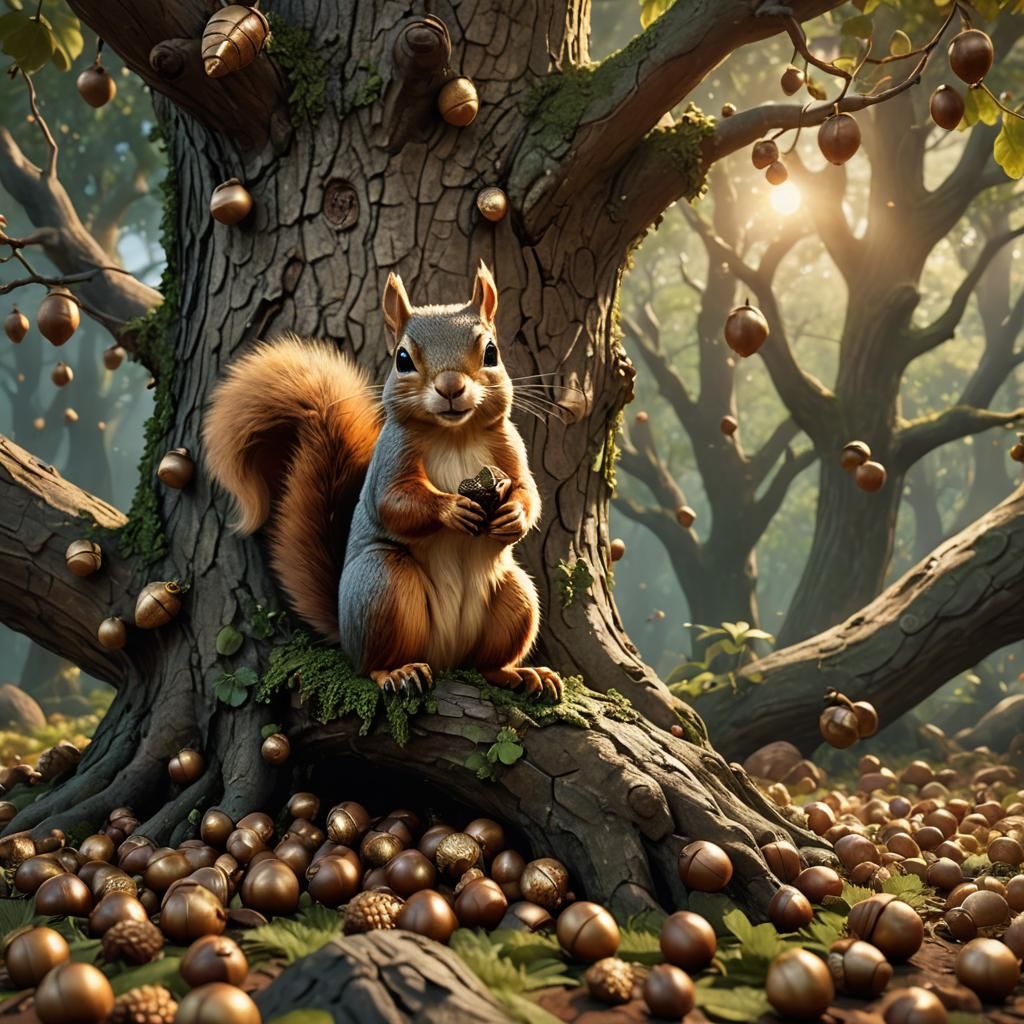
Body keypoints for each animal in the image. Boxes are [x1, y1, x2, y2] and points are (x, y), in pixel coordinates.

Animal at [202, 262, 562, 702]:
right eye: (402, 359)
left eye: (491, 352)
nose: (451, 388)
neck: (454, 434)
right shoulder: (390, 457)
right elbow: (394, 502)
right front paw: (451, 508)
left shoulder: (510, 446)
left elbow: (529, 491)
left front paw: (513, 515)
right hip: (384, 588)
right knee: (373, 663)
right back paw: (398, 672)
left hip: (516, 597)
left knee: (487, 663)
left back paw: (520, 674)